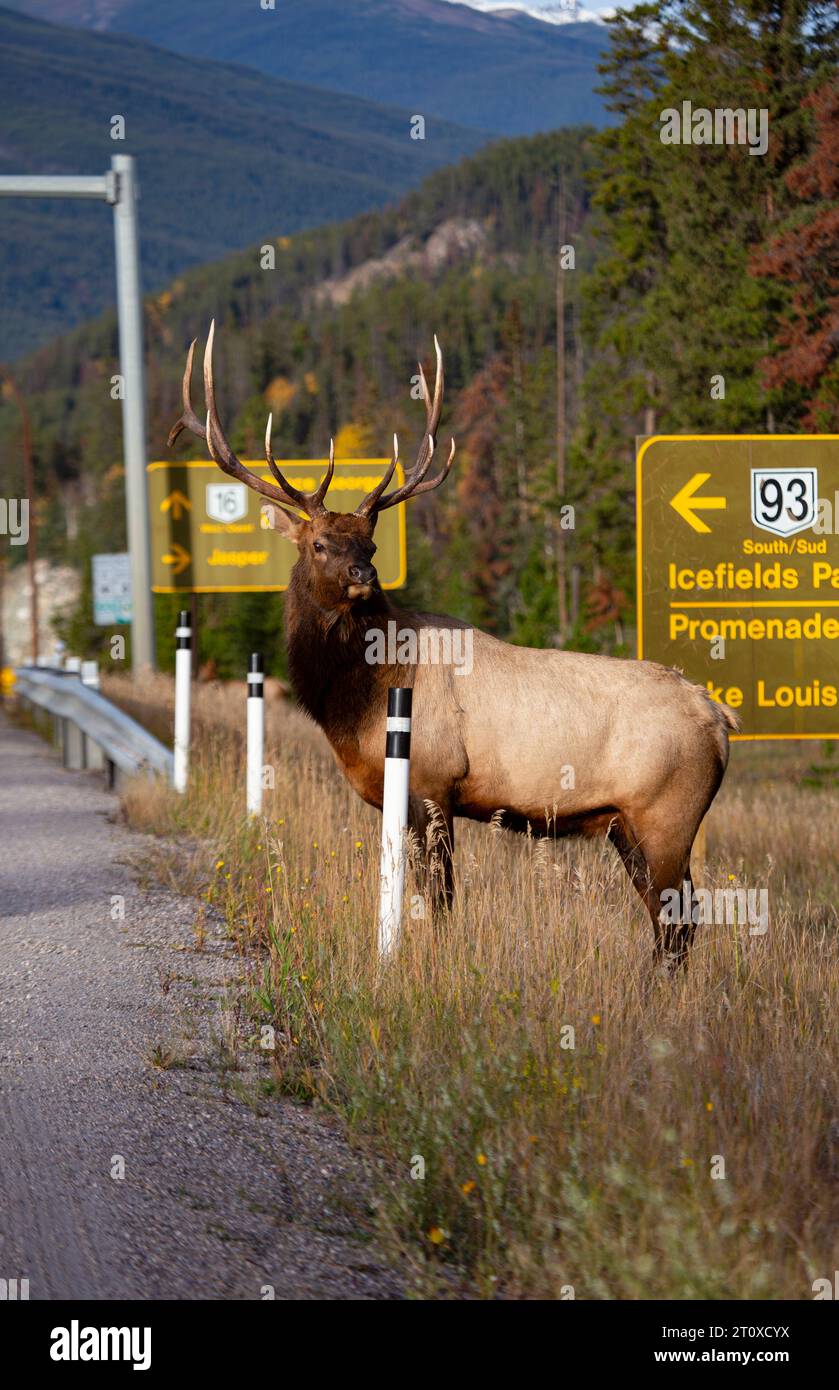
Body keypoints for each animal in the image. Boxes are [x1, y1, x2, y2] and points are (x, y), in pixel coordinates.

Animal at [168, 323, 733, 967]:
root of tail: (720, 718)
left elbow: (437, 899)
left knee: (677, 922)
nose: (364, 575)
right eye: (319, 544)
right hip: (627, 824)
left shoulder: (432, 782)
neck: (355, 700)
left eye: (371, 542)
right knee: (674, 922)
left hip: (668, 814)